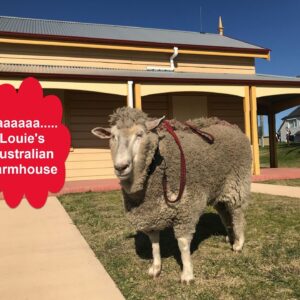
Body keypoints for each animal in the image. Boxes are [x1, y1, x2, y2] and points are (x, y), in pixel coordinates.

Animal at [92, 106, 252, 282]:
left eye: (140, 134)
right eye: (113, 136)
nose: (121, 167)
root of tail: (232, 126)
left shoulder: (186, 206)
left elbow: (183, 244)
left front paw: (187, 274)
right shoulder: (150, 213)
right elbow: (154, 243)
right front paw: (156, 267)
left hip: (237, 183)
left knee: (237, 213)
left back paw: (239, 242)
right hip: (219, 188)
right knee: (224, 212)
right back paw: (231, 236)